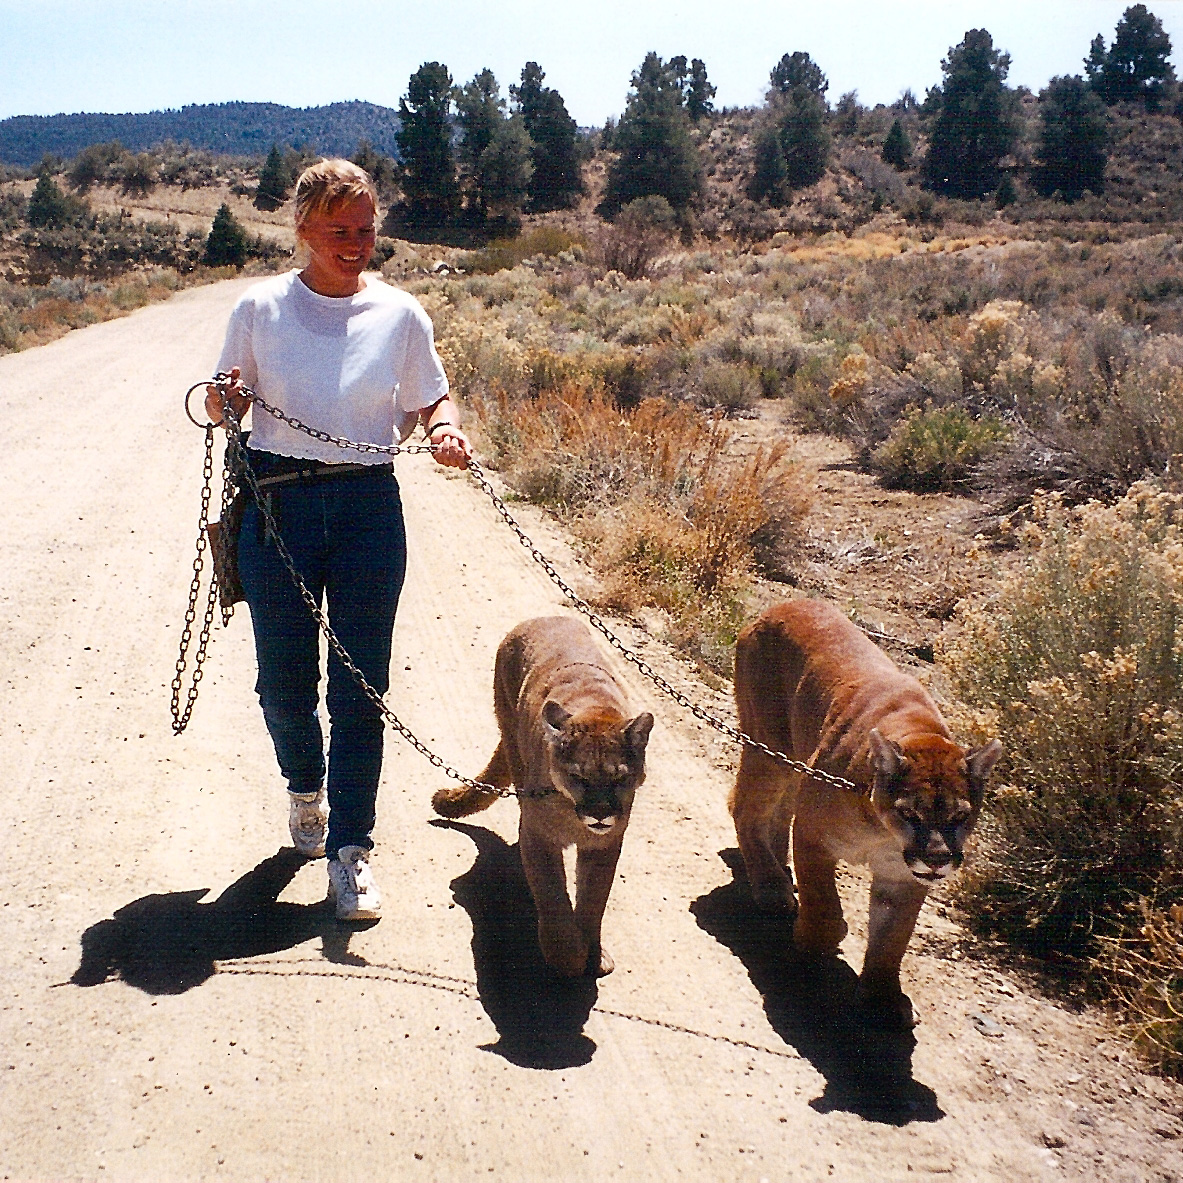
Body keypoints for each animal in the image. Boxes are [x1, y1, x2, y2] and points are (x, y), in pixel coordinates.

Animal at [435, 619, 657, 979]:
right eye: (580, 778)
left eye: (619, 779)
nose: (600, 814)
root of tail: (540, 618)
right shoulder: (540, 836)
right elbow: (552, 893)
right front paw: (567, 955)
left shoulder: (605, 844)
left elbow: (595, 898)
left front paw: (593, 952)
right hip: (512, 737)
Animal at [728, 600, 998, 1026]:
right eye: (911, 814)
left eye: (959, 818)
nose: (938, 859)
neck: (882, 831)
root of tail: (779, 605)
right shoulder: (813, 837)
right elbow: (823, 906)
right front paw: (819, 939)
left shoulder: (902, 879)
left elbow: (892, 939)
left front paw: (884, 997)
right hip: (770, 747)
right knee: (744, 807)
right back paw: (771, 885)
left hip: (794, 758)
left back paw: (778, 867)